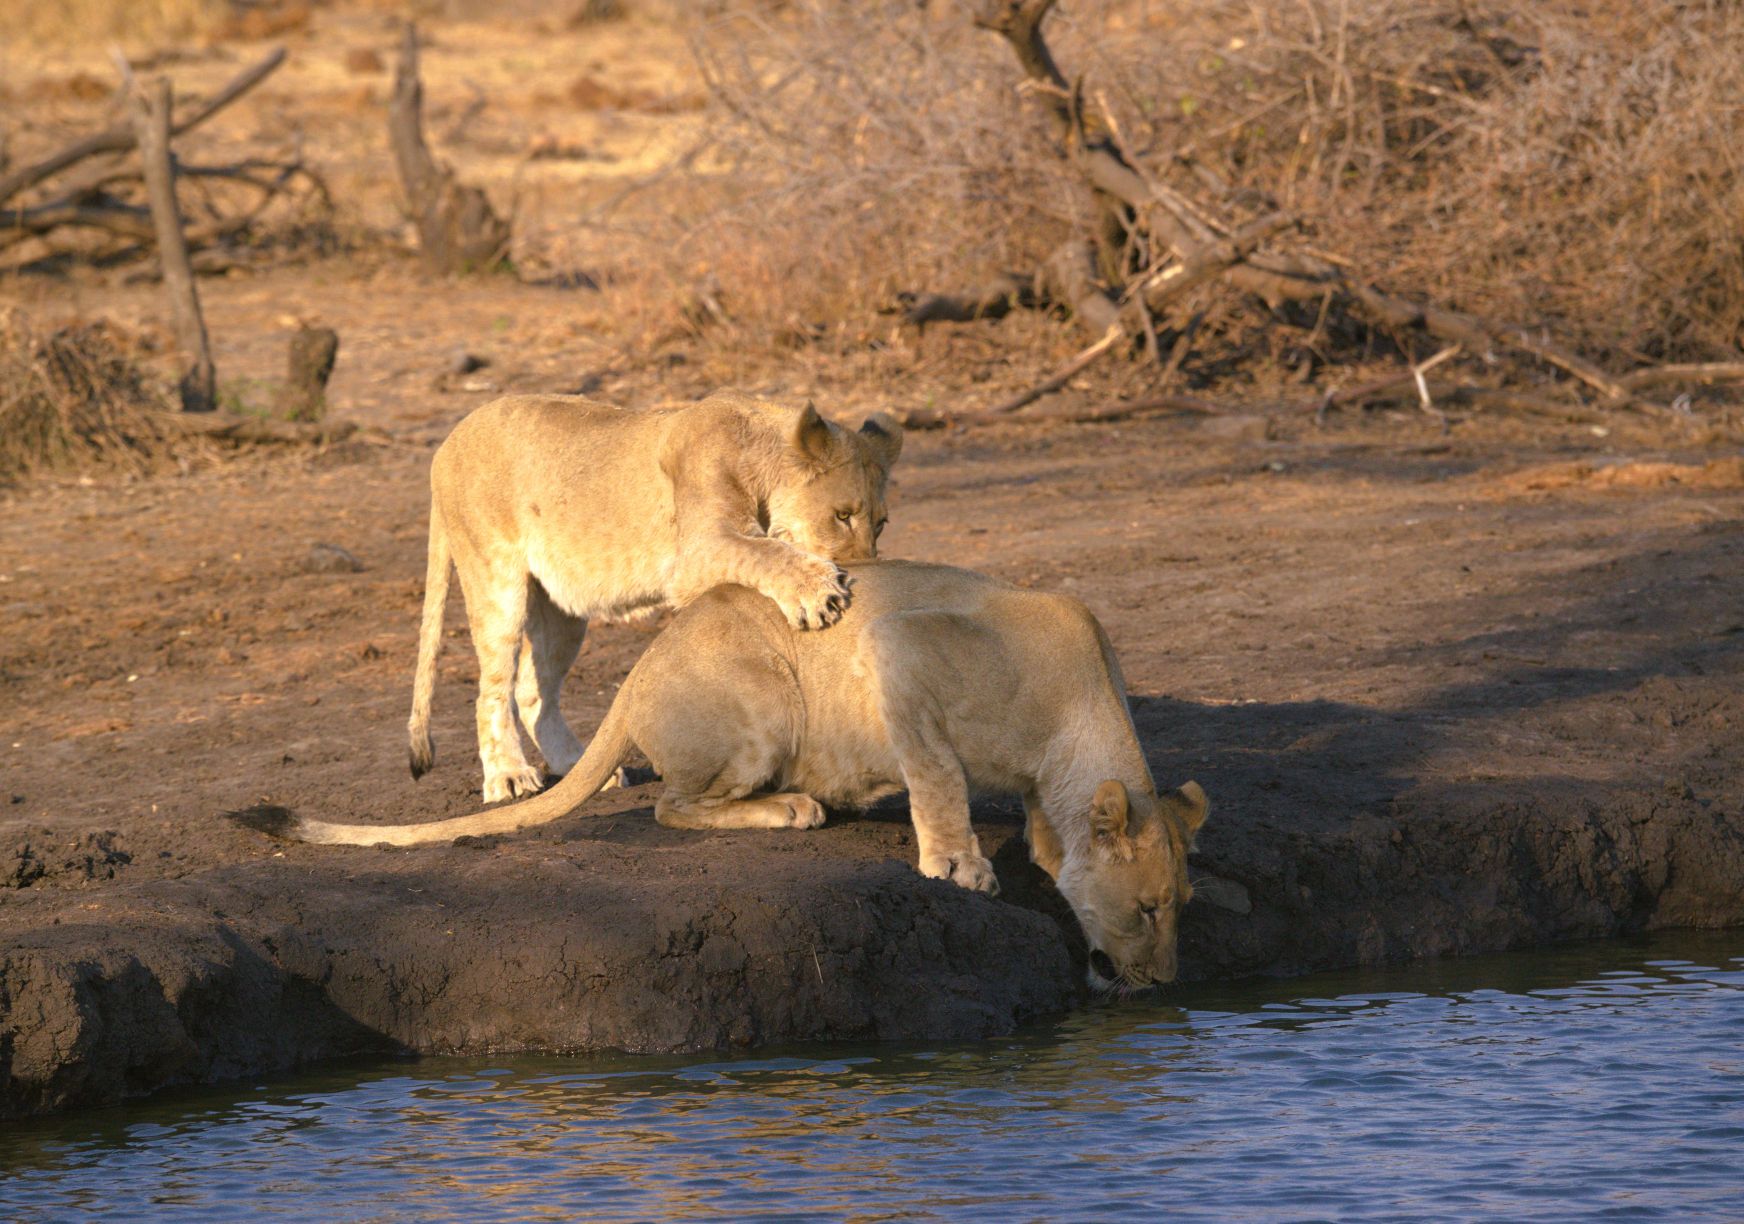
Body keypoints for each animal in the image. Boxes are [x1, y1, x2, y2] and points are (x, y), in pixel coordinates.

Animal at [288, 560, 1245, 989]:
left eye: (1181, 908)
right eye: (1148, 909)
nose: (1164, 983)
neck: (1079, 705)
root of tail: (637, 672)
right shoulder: (899, 649)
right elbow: (938, 774)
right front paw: (958, 864)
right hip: (766, 699)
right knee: (673, 808)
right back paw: (793, 808)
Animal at [406, 389, 902, 804]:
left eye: (881, 523)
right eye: (842, 515)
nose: (869, 569)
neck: (758, 450)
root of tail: (445, 445)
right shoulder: (697, 552)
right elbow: (765, 551)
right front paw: (819, 591)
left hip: (561, 609)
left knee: (533, 692)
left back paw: (582, 769)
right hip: (494, 576)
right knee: (492, 688)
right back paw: (507, 776)